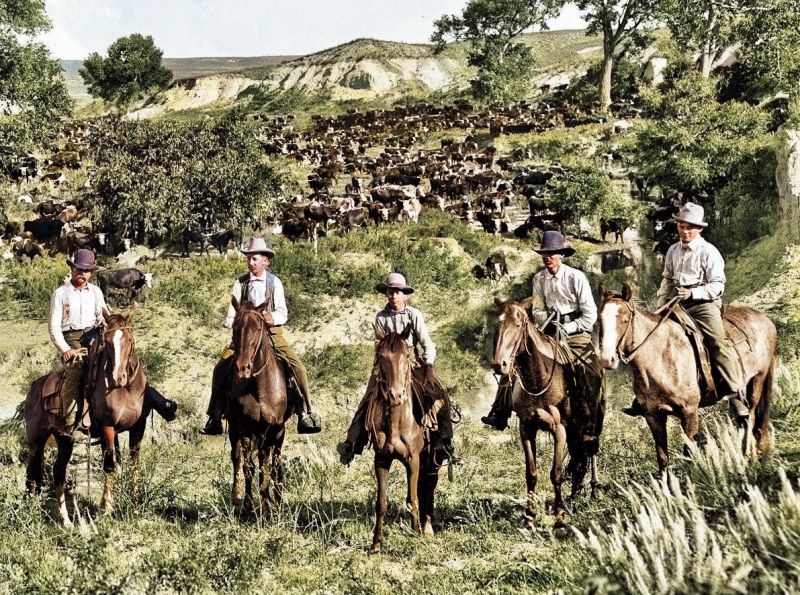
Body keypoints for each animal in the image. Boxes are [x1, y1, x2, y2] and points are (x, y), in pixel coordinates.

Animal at [25, 312, 151, 528]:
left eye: (129, 340)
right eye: (106, 342)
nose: (118, 378)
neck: (126, 391)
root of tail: (34, 386)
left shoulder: (138, 428)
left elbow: (134, 464)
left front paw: (135, 504)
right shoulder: (108, 428)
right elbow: (109, 466)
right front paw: (106, 509)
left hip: (64, 439)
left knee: (58, 471)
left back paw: (65, 521)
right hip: (36, 439)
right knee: (31, 468)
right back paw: (29, 507)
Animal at [228, 298, 288, 516]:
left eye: (258, 327)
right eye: (235, 327)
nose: (242, 368)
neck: (260, 388)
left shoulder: (274, 429)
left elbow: (268, 468)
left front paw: (271, 506)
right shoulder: (246, 429)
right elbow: (249, 467)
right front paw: (249, 505)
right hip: (234, 429)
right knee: (237, 458)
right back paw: (236, 498)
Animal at [368, 326, 440, 556]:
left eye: (406, 355)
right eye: (381, 356)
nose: (396, 395)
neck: (397, 423)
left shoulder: (413, 460)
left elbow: (412, 498)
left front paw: (415, 533)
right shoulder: (381, 460)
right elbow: (381, 503)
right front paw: (376, 543)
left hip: (433, 457)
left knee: (429, 486)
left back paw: (427, 528)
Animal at [490, 300, 604, 528]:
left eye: (518, 325)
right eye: (499, 324)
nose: (500, 364)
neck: (538, 379)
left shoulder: (559, 429)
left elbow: (556, 473)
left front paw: (559, 517)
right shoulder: (526, 428)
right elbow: (531, 473)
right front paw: (529, 517)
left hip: (593, 422)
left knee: (591, 449)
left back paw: (594, 489)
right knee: (579, 457)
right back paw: (574, 494)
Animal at [600, 286, 776, 474]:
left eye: (625, 319)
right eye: (600, 319)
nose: (607, 360)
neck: (662, 355)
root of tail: (766, 320)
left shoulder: (689, 412)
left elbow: (689, 452)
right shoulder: (653, 416)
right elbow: (662, 458)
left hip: (758, 379)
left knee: (752, 415)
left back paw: (751, 454)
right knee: (743, 416)